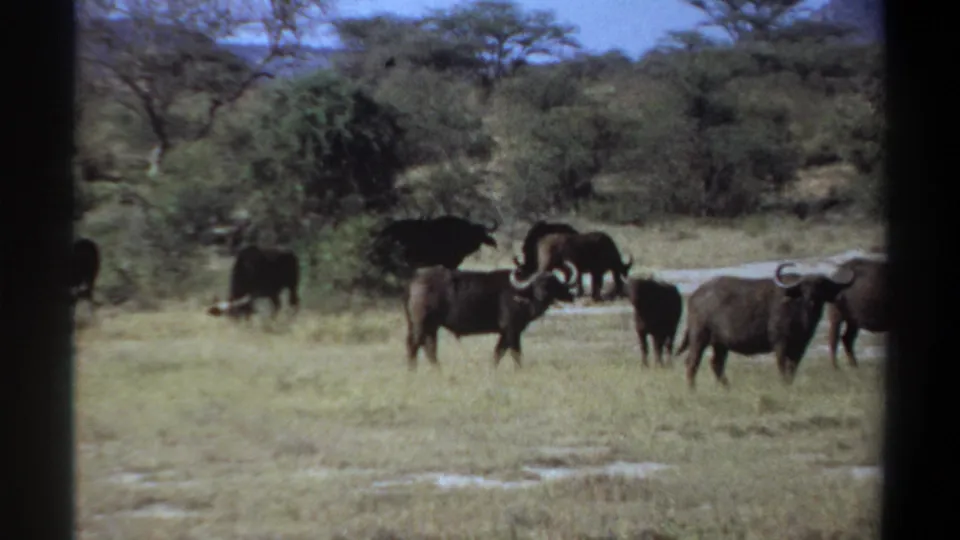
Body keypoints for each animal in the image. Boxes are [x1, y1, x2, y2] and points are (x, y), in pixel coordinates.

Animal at [403, 261, 580, 370]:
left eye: (552, 283)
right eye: (536, 283)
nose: (542, 295)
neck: (522, 295)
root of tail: (415, 280)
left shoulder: (505, 333)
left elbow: (498, 353)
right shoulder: (512, 330)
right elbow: (515, 353)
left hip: (431, 326)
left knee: (429, 347)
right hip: (422, 324)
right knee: (415, 345)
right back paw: (412, 370)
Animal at [676, 262, 855, 388]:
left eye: (822, 286)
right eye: (804, 287)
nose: (812, 299)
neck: (800, 313)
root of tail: (695, 296)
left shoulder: (800, 347)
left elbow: (793, 367)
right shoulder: (780, 343)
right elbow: (782, 366)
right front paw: (784, 384)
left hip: (720, 343)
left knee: (716, 364)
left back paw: (727, 387)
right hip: (699, 336)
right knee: (692, 362)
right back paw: (692, 389)